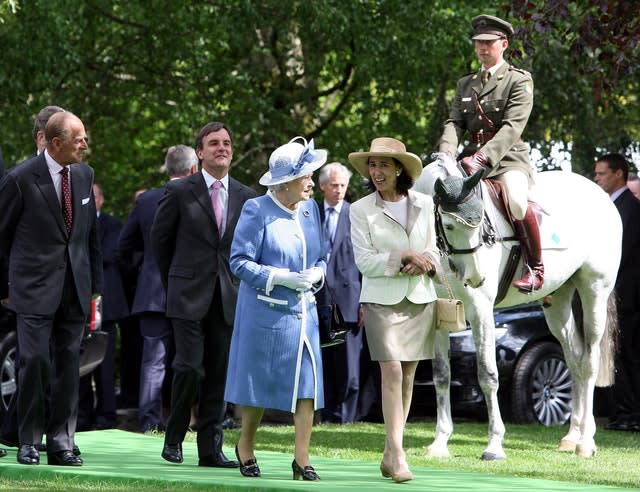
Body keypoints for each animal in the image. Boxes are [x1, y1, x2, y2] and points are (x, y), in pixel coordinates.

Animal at [416, 155, 620, 462]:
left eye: (479, 223)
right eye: (450, 226)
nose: (475, 278)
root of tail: (601, 194)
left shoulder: (480, 311)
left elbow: (488, 375)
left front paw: (494, 445)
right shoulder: (440, 312)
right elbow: (441, 375)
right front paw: (439, 443)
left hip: (594, 290)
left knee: (590, 362)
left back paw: (586, 442)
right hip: (558, 303)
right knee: (574, 361)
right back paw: (571, 437)